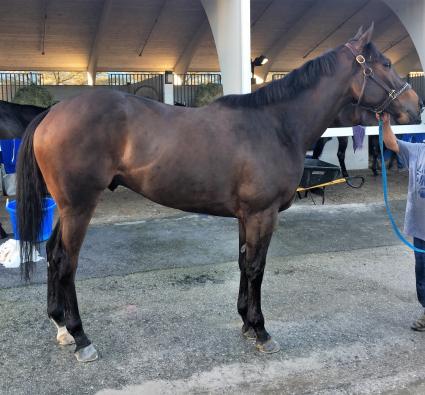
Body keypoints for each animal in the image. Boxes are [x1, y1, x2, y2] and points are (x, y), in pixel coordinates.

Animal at [14, 25, 420, 366]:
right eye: (385, 63)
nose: (415, 106)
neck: (276, 124)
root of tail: (52, 112)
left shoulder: (247, 216)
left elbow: (243, 263)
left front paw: (245, 323)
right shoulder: (262, 214)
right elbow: (256, 268)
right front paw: (262, 331)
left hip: (67, 207)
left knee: (53, 254)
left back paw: (61, 327)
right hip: (79, 206)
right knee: (66, 263)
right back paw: (82, 338)